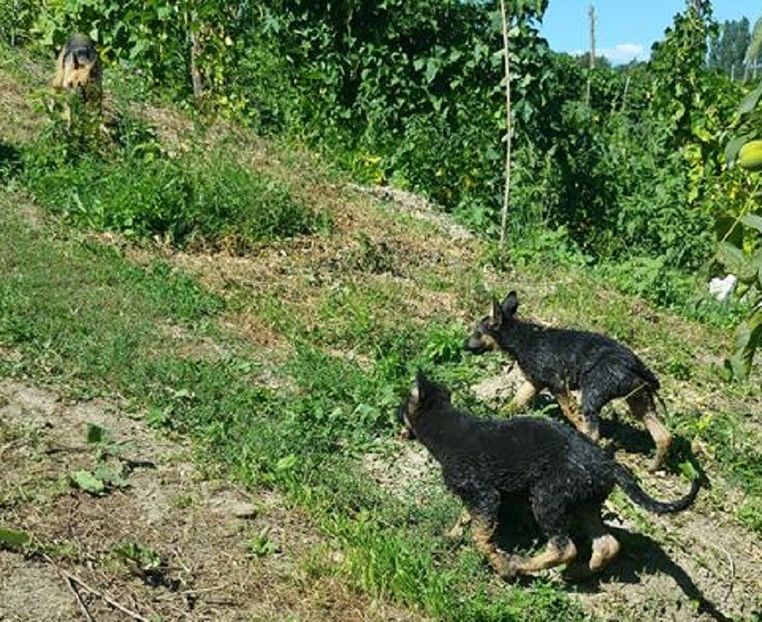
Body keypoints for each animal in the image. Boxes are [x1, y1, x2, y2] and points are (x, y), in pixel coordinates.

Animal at [400, 376, 696, 584]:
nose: (397, 425)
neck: (446, 426)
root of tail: (609, 464)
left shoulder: (485, 494)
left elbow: (481, 535)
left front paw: (498, 564)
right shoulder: (480, 497)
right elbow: (470, 521)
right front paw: (451, 535)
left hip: (547, 497)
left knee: (565, 548)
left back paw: (519, 565)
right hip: (584, 502)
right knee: (607, 545)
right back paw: (576, 574)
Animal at [464, 292, 672, 472]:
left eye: (477, 332)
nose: (463, 345)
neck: (523, 338)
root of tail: (634, 365)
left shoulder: (557, 383)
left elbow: (571, 413)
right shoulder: (534, 382)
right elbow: (516, 402)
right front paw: (497, 416)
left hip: (593, 395)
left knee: (594, 433)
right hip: (640, 402)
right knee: (664, 436)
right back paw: (653, 467)